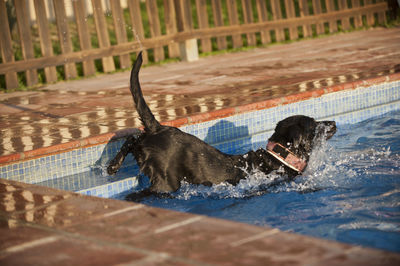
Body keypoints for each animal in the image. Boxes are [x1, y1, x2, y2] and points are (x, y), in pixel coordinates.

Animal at [108, 52, 336, 200]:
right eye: (314, 125)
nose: (333, 122)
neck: (279, 158)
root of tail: (158, 127)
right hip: (165, 183)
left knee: (132, 138)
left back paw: (113, 166)